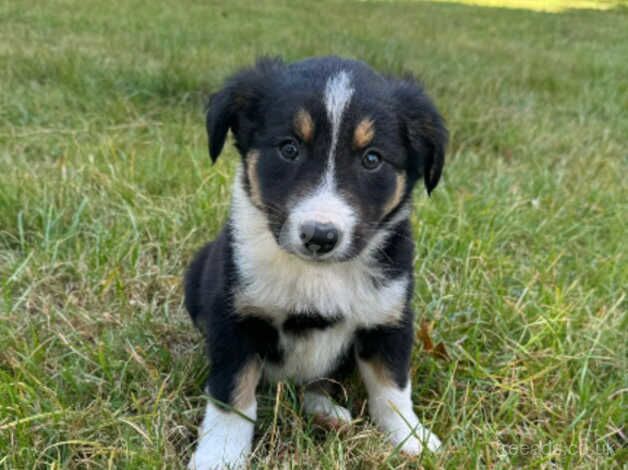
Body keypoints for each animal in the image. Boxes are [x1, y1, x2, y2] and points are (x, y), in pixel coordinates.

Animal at [184, 54, 448, 466]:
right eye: (289, 149)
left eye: (372, 159)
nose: (320, 236)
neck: (317, 274)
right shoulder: (235, 318)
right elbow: (232, 397)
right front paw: (219, 456)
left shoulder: (388, 317)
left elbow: (392, 387)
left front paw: (411, 438)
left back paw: (328, 412)